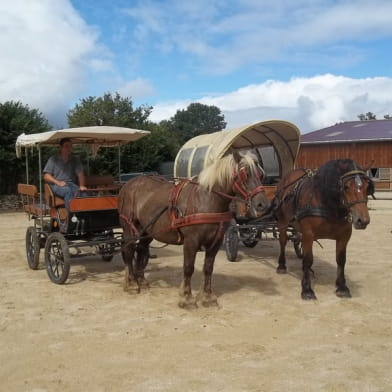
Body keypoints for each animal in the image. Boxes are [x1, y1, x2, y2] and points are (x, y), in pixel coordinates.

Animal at [117, 150, 270, 306]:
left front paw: (208, 297)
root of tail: (128, 185)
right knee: (129, 250)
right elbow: (188, 268)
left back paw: (141, 281)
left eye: (261, 174)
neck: (206, 200)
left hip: (148, 231)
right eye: (244, 174)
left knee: (141, 250)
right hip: (130, 228)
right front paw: (186, 298)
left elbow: (208, 268)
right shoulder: (191, 241)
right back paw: (131, 284)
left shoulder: (215, 242)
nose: (262, 205)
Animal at [270, 159, 374, 300]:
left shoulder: (344, 235)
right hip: (282, 222)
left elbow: (341, 260)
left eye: (367, 187)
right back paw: (281, 265)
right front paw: (307, 289)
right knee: (283, 240)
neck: (326, 203)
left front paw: (342, 287)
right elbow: (308, 259)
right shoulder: (308, 233)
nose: (362, 221)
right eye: (346, 187)